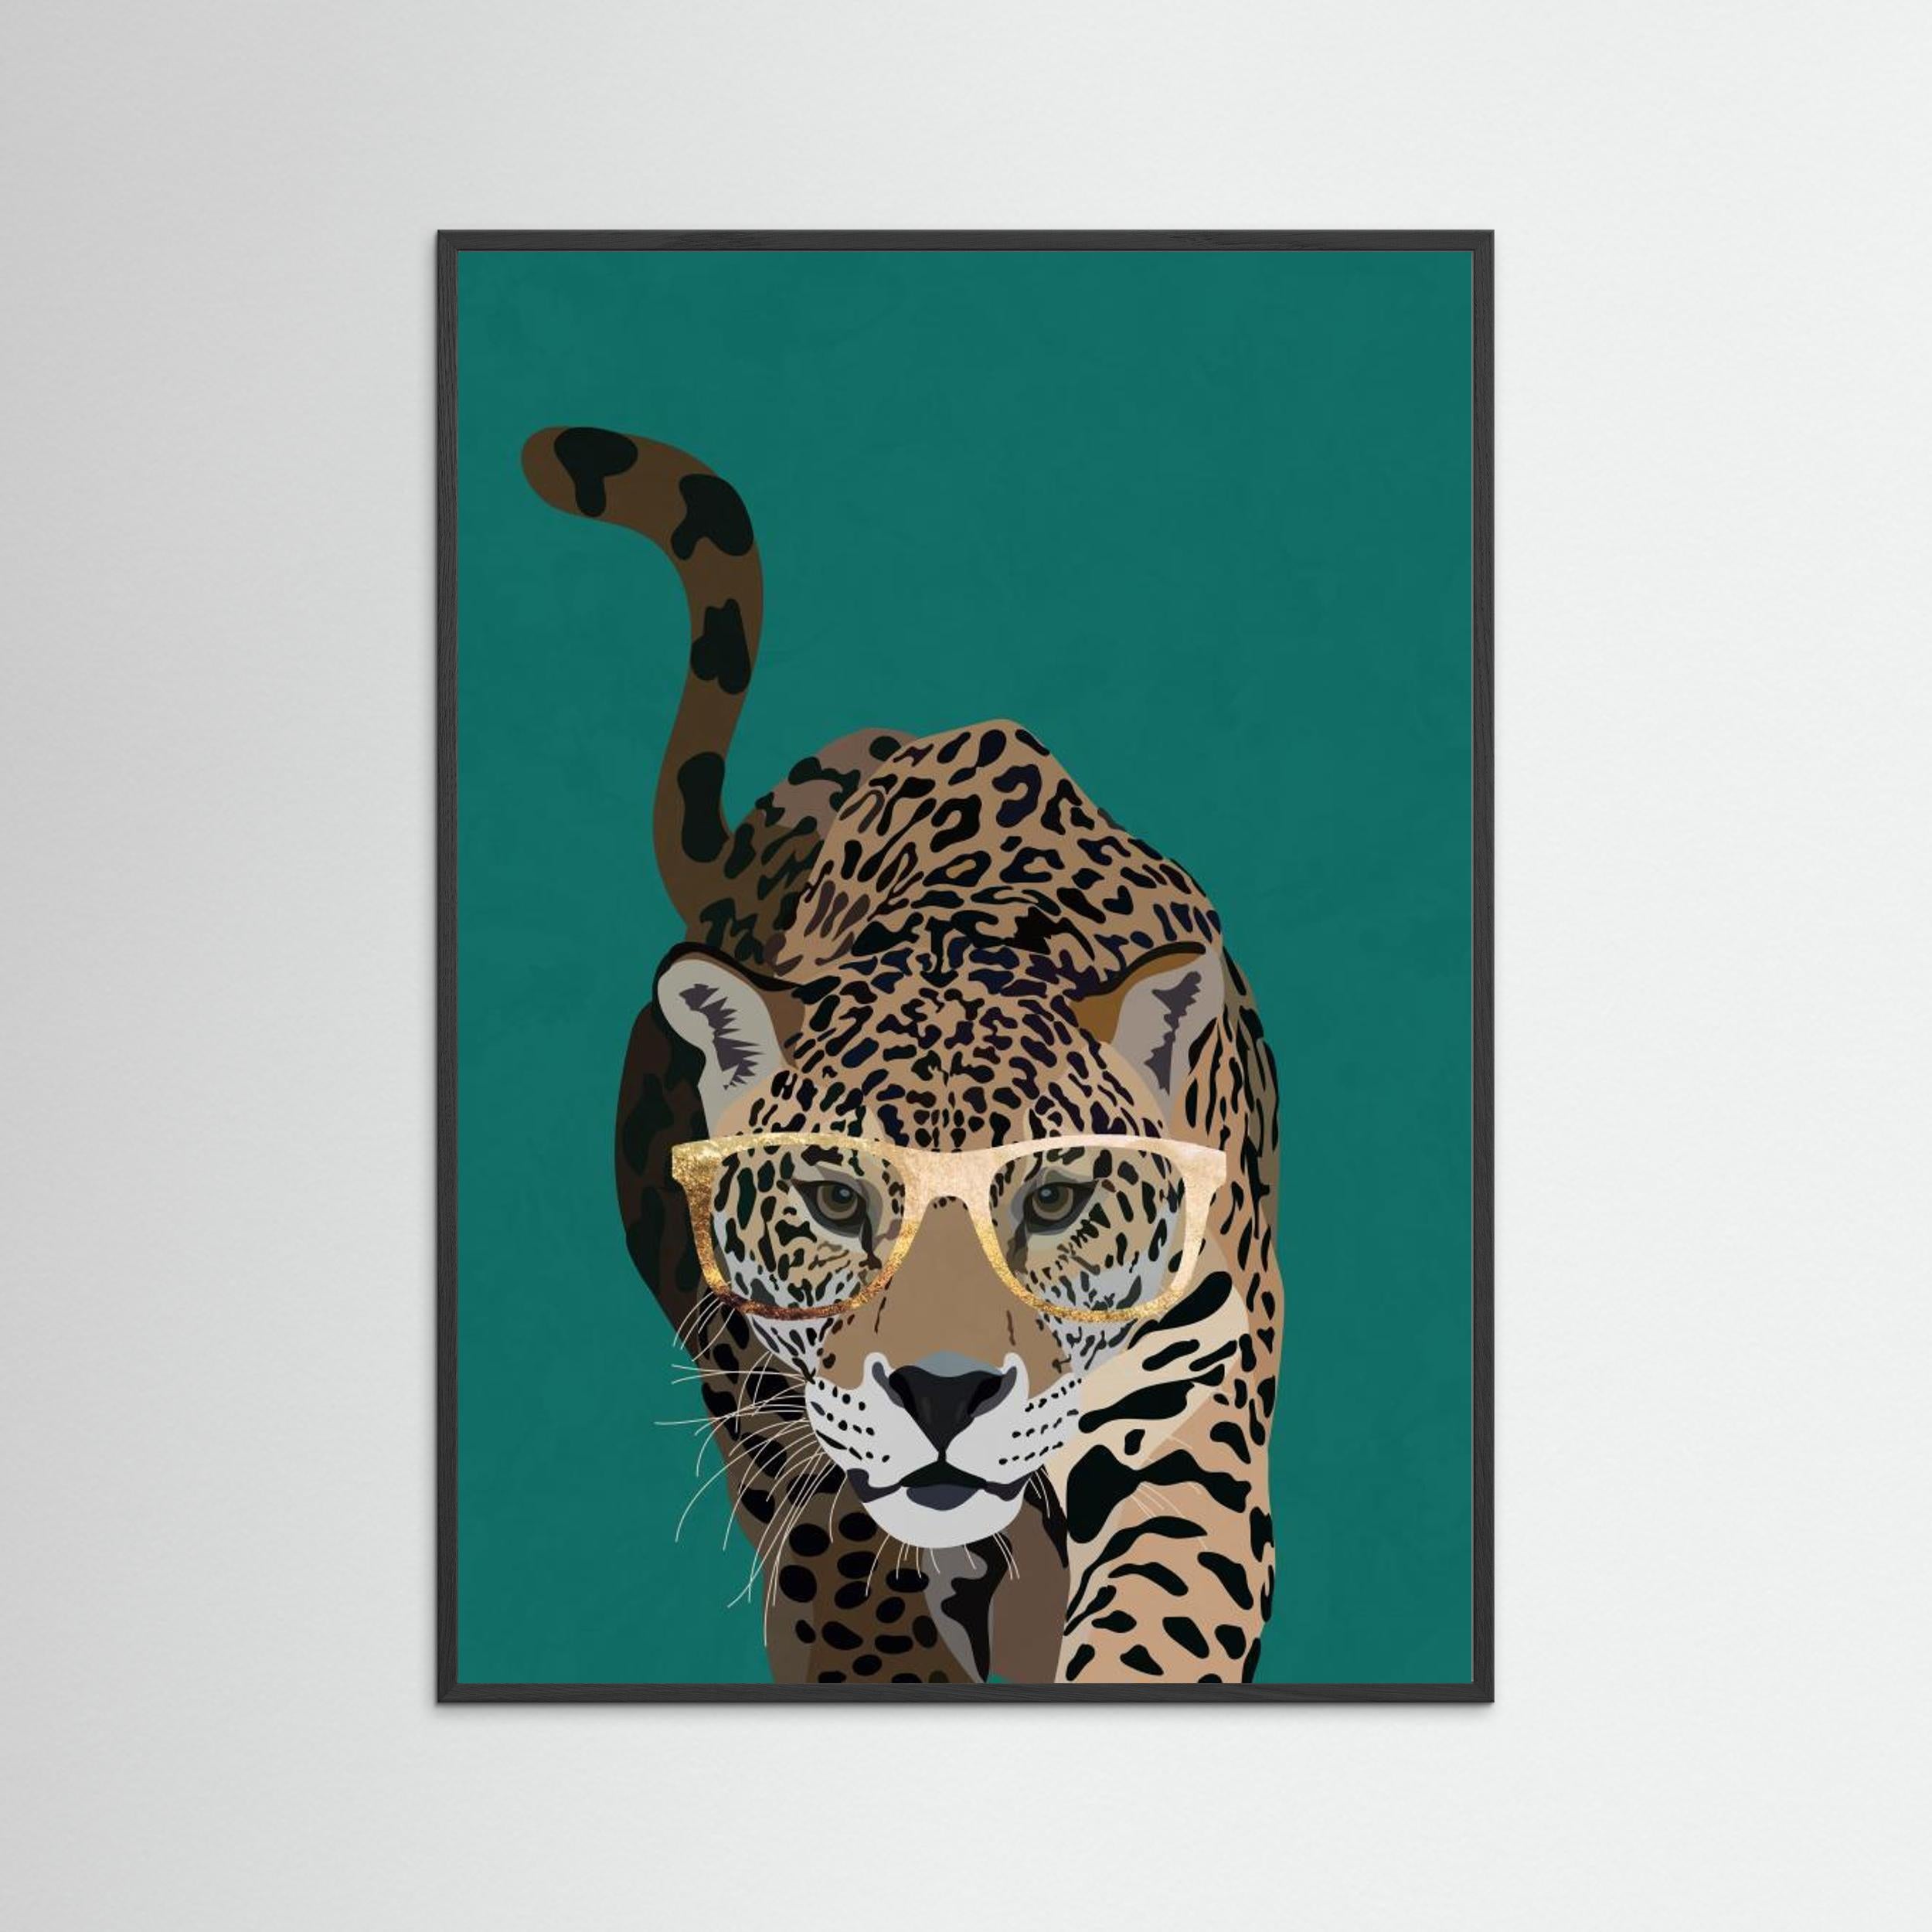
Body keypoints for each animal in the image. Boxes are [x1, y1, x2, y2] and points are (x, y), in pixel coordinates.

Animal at [521, 424, 1283, 1686]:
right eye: (835, 1200)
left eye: (1056, 1200)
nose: (944, 1393)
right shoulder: (790, 1428)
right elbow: (852, 1598)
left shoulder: (1190, 1411)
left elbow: (1161, 1622)